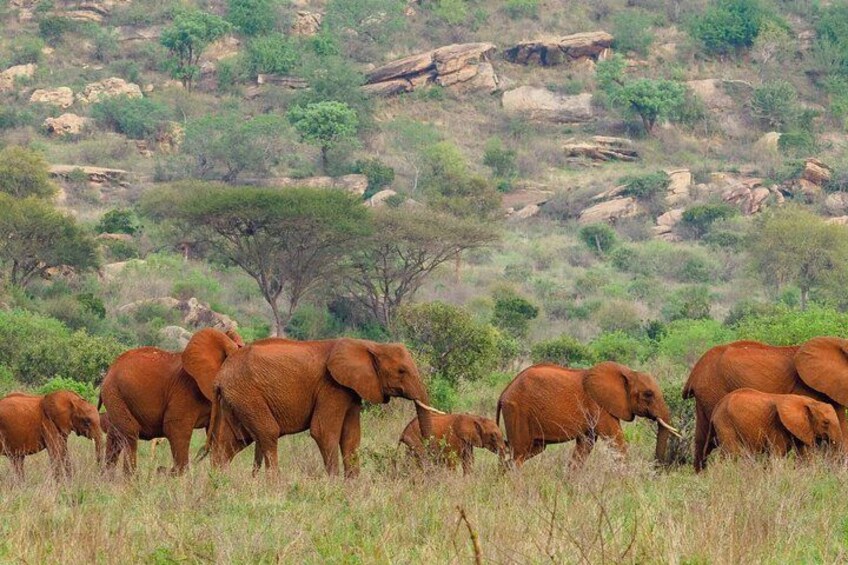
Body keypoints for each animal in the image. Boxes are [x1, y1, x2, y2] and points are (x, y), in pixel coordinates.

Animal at [99, 327, 243, 475]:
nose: (160, 468)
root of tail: (109, 369)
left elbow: (217, 434)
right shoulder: (185, 389)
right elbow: (176, 428)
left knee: (115, 435)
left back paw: (107, 477)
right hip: (114, 392)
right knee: (130, 433)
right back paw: (130, 479)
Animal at [203, 337, 443, 477]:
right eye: (401, 371)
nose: (432, 467)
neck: (369, 345)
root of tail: (219, 377)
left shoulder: (351, 389)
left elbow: (351, 437)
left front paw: (353, 485)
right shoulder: (331, 387)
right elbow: (324, 432)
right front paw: (334, 483)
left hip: (235, 399)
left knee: (230, 442)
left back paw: (219, 482)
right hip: (247, 395)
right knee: (268, 433)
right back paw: (274, 484)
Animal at [497, 362, 680, 468]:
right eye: (648, 394)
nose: (657, 469)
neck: (628, 372)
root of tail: (504, 392)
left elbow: (586, 444)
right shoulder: (598, 405)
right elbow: (616, 439)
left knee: (529, 450)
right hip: (517, 411)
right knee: (519, 453)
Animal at [709, 388, 842, 459]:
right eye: (826, 422)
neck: (809, 402)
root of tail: (717, 405)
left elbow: (804, 454)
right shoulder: (776, 425)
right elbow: (778, 453)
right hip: (725, 422)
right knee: (734, 454)